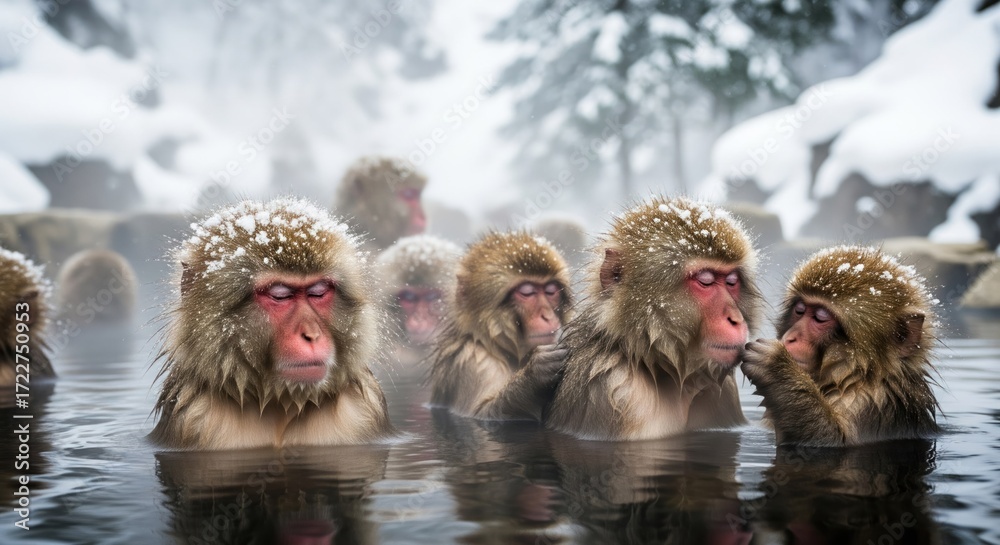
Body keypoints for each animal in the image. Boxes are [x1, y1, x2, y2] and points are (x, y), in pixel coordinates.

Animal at [429, 231, 573, 422]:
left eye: (551, 291)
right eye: (527, 292)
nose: (547, 316)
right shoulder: (473, 360)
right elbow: (482, 413)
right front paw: (535, 374)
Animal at [742, 245, 940, 447]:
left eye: (820, 318)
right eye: (800, 310)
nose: (790, 338)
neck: (860, 376)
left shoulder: (867, 403)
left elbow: (835, 440)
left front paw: (775, 366)